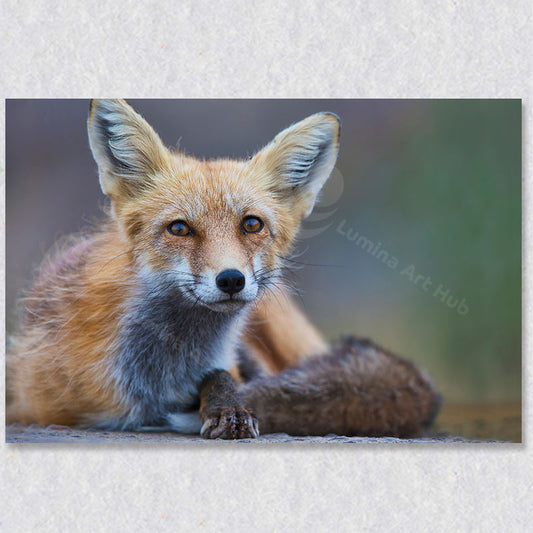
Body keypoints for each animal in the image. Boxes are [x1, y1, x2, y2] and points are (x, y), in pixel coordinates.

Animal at [7, 102, 440, 438]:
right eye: (179, 228)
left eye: (251, 224)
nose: (231, 279)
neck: (161, 377)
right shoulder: (30, 404)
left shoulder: (237, 364)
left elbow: (226, 378)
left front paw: (228, 407)